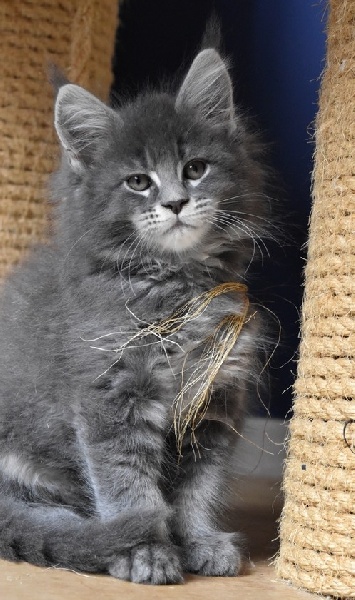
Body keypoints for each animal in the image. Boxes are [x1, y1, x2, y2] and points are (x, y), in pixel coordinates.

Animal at [0, 48, 268, 584]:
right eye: (139, 182)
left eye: (195, 168)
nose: (176, 202)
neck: (175, 289)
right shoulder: (110, 394)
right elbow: (128, 485)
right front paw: (145, 549)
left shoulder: (214, 398)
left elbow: (198, 489)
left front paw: (199, 541)